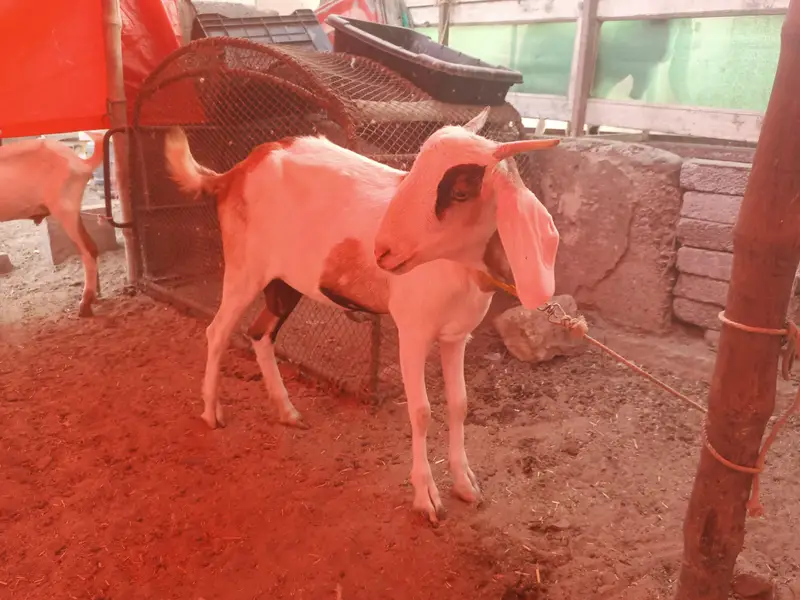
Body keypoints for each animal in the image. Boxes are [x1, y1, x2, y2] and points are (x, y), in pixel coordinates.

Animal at [164, 107, 560, 523]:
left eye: (461, 192)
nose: (382, 251)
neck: (459, 268)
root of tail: (232, 174)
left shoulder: (456, 336)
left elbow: (459, 405)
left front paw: (466, 485)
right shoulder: (412, 332)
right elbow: (421, 411)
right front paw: (426, 497)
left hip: (284, 282)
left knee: (260, 333)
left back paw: (286, 410)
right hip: (245, 268)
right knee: (218, 331)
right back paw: (212, 412)